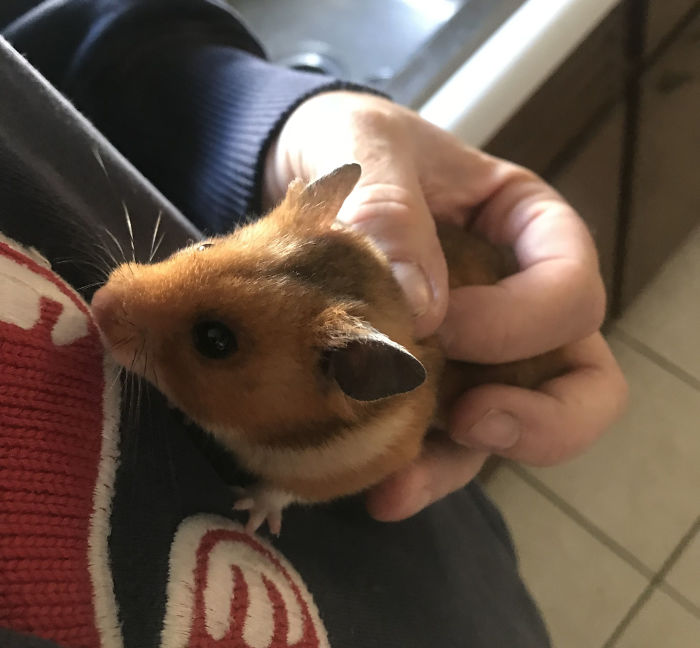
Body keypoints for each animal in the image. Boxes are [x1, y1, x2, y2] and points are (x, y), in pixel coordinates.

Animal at [91, 163, 567, 534]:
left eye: (215, 340)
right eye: (204, 245)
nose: (98, 303)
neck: (256, 431)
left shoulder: (352, 468)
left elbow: (281, 491)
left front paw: (247, 510)